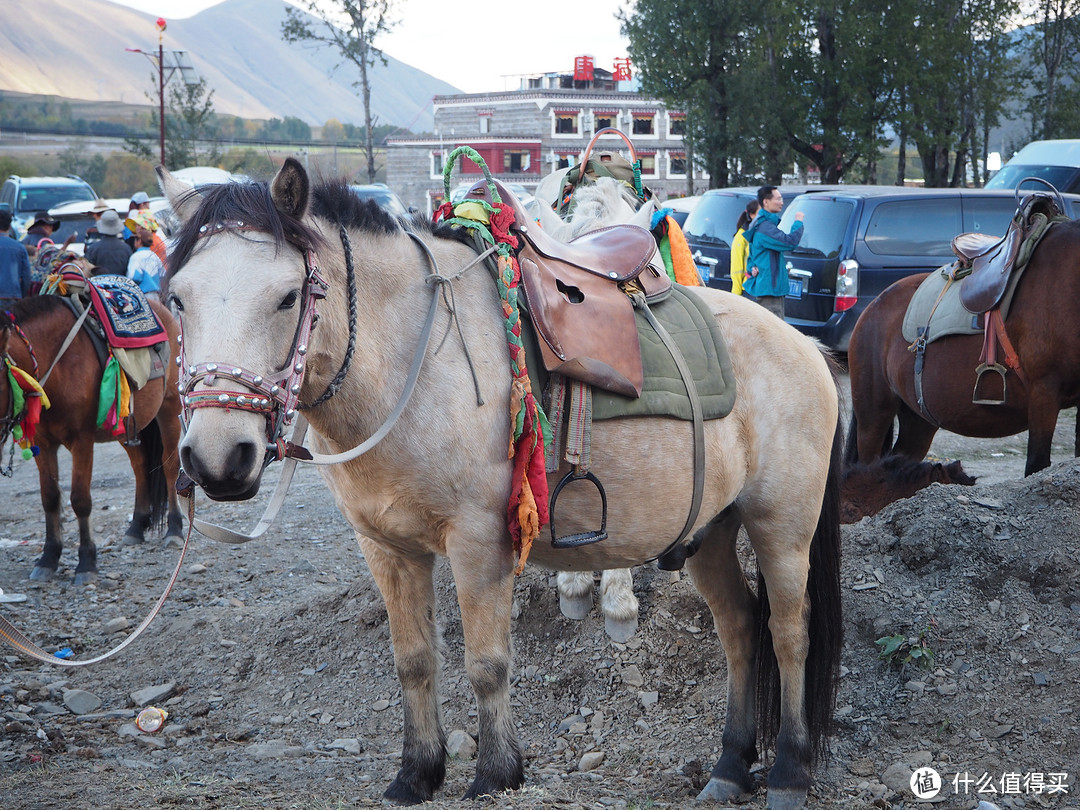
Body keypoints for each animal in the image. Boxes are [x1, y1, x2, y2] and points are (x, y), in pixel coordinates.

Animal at [0, 295, 182, 583]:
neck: (58, 363)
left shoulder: (81, 440)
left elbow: (80, 499)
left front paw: (86, 562)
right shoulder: (43, 443)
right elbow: (50, 497)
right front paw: (48, 558)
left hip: (169, 409)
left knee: (170, 466)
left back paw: (174, 529)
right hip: (127, 424)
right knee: (141, 467)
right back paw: (136, 526)